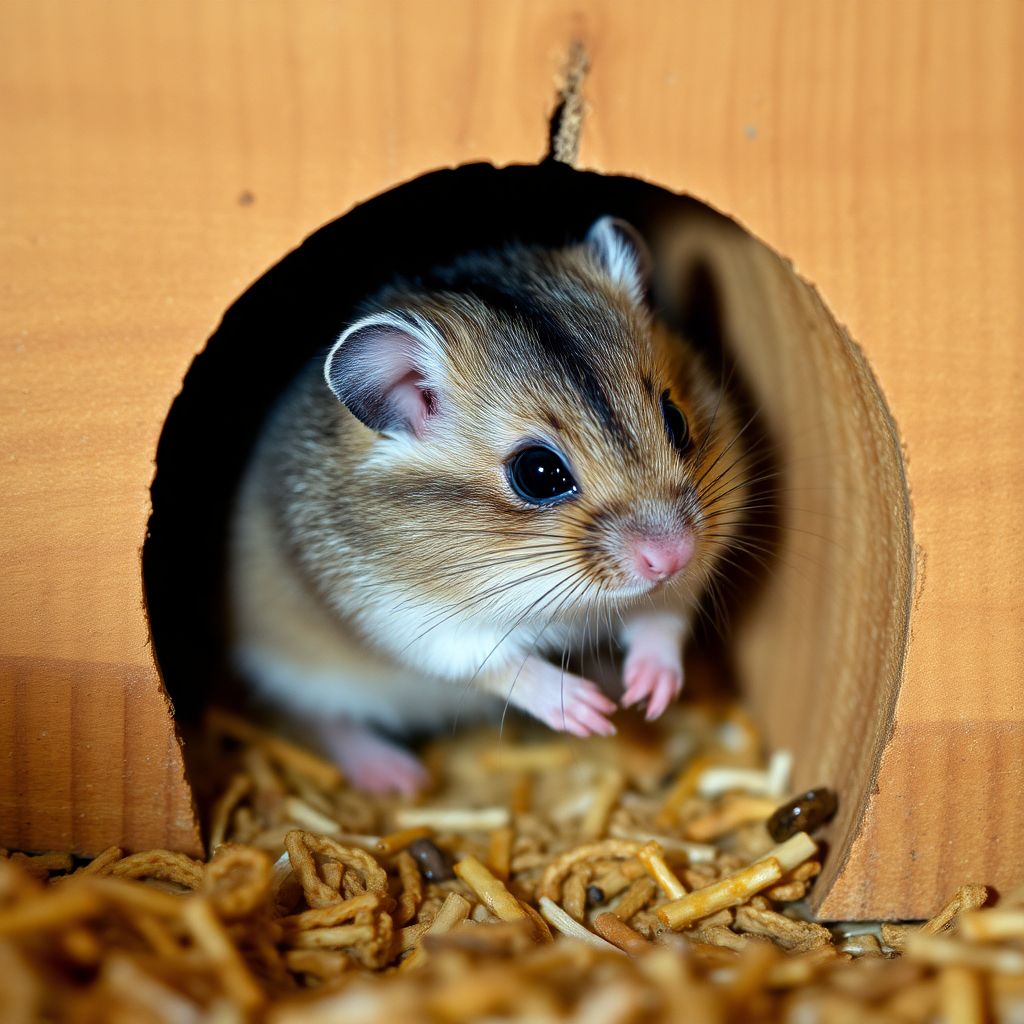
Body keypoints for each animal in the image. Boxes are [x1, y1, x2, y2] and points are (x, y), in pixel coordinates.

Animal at [227, 217, 747, 794]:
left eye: (675, 420)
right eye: (538, 473)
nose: (672, 556)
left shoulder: (683, 576)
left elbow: (664, 616)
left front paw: (647, 697)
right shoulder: (420, 623)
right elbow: (502, 663)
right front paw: (590, 713)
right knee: (322, 720)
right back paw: (398, 777)